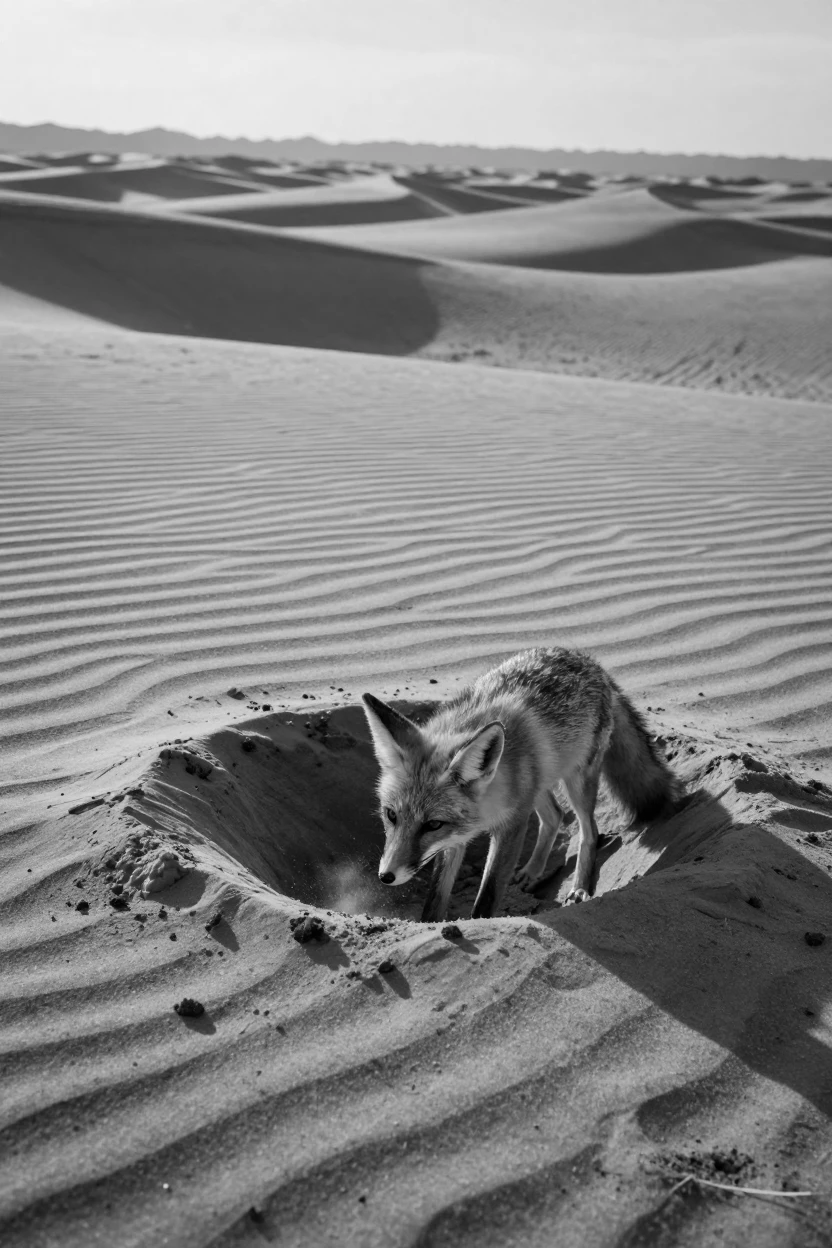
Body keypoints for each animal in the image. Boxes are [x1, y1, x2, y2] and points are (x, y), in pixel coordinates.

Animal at [362, 647, 679, 922]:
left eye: (432, 825)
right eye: (391, 815)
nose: (386, 876)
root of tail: (587, 659)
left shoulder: (512, 826)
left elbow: (488, 895)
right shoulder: (457, 838)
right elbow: (436, 897)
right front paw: (431, 928)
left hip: (576, 781)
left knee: (589, 831)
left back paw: (579, 887)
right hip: (538, 784)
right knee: (555, 815)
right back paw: (533, 871)